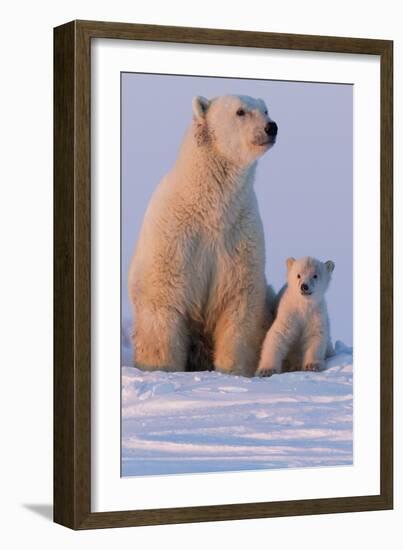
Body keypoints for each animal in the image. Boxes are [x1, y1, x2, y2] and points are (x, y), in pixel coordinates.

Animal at [129, 96, 278, 380]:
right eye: (240, 111)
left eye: (266, 110)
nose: (271, 127)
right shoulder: (175, 235)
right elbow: (163, 298)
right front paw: (161, 369)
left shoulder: (239, 234)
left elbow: (238, 302)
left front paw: (232, 371)